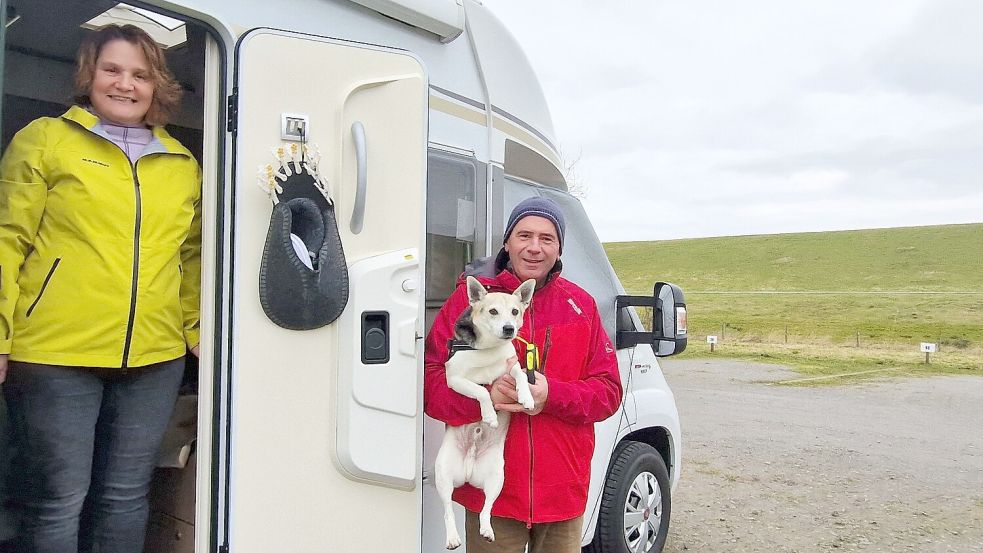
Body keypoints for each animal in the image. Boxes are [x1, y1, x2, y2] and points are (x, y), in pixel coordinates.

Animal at [434, 276, 536, 548]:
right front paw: (489, 415)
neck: (488, 350)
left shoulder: (511, 367)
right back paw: (452, 537)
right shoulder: (455, 380)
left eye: (515, 312)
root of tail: (469, 471)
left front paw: (527, 397)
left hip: (496, 480)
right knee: (447, 510)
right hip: (443, 476)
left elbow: (521, 375)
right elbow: (482, 391)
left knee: (486, 509)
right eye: (493, 311)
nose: (509, 328)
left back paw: (487, 530)